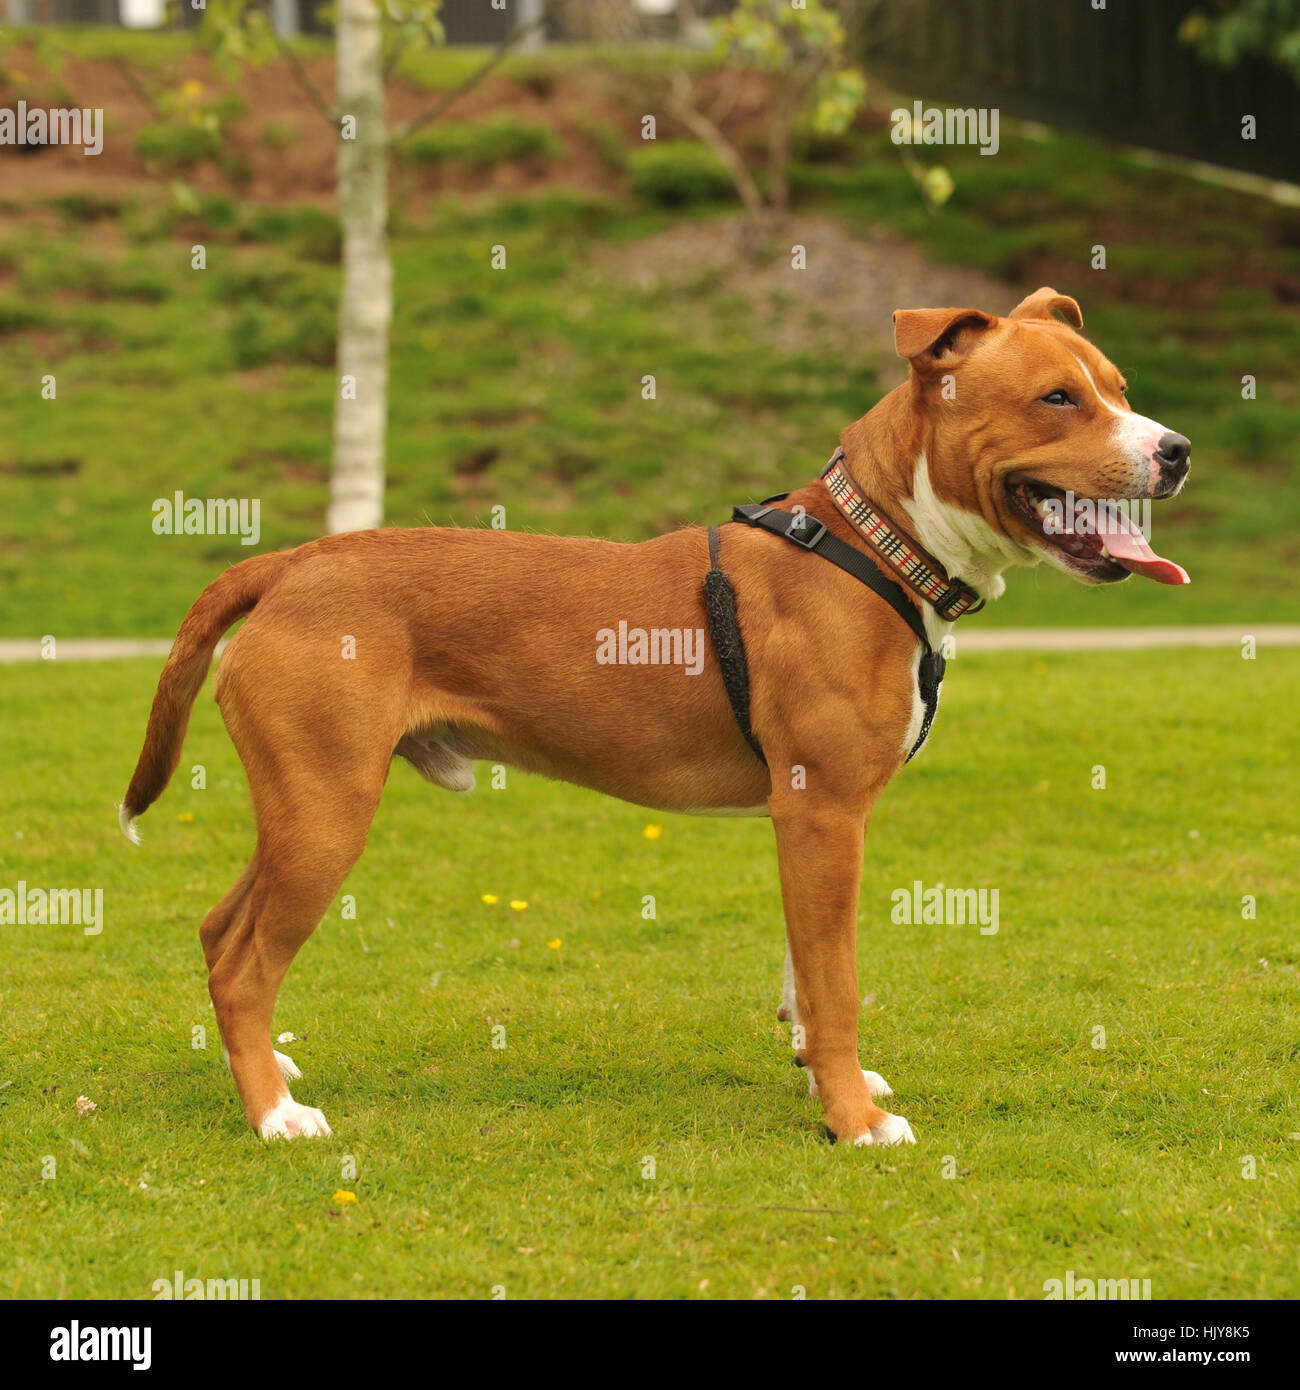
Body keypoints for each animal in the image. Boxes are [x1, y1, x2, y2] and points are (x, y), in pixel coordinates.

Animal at [119, 287, 1190, 1145]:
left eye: (1119, 387)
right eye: (1058, 398)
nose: (1176, 450)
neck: (879, 543)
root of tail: (291, 562)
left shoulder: (813, 826)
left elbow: (806, 983)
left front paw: (822, 1083)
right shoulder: (823, 816)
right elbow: (837, 987)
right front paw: (854, 1121)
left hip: (301, 809)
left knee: (219, 933)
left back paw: (263, 1070)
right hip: (327, 814)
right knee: (244, 967)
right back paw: (273, 1116)